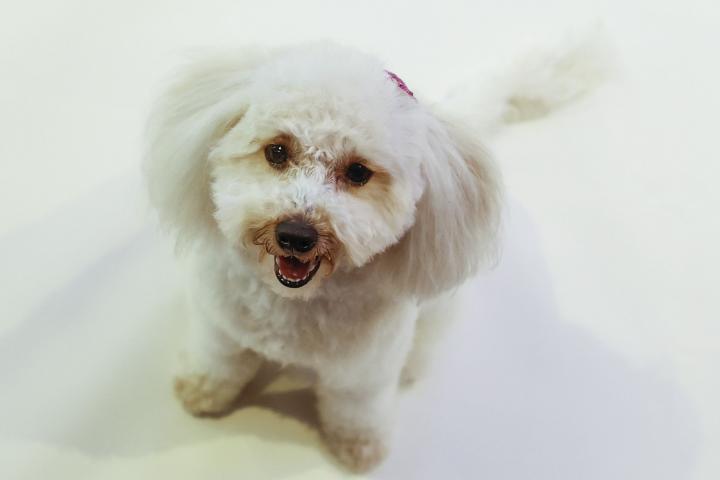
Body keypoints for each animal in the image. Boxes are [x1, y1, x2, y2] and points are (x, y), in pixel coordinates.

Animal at [144, 39, 607, 472]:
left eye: (358, 173)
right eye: (277, 151)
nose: (295, 234)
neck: (295, 304)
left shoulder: (363, 371)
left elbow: (356, 409)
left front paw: (360, 447)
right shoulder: (220, 327)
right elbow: (218, 361)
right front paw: (203, 393)